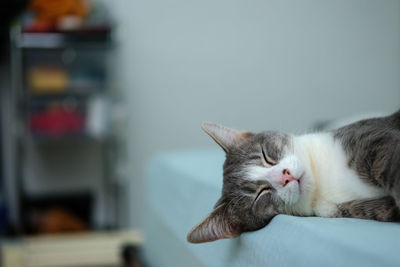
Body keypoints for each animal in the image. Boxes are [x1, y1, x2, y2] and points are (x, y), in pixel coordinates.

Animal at [188, 110, 400, 244]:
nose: (286, 176)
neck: (321, 181)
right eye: (260, 194)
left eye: (266, 156)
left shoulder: (372, 139)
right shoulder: (359, 209)